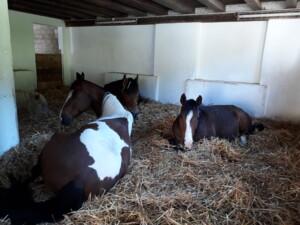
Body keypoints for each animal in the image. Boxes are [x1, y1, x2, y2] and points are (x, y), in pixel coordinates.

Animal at [0, 92, 134, 224]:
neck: (118, 114)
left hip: (54, 140)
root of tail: (80, 180)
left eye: (74, 95)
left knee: (31, 175)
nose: (63, 118)